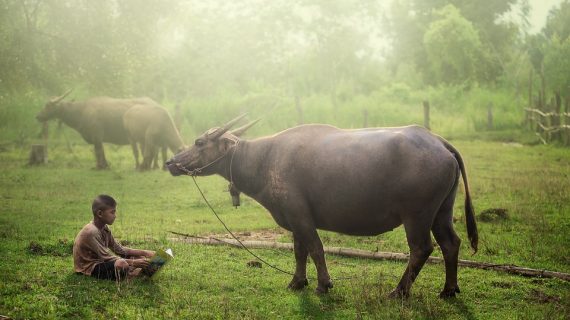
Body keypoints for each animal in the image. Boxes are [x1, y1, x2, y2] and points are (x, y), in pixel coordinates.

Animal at [166, 116, 478, 298]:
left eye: (199, 142)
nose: (171, 162)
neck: (264, 159)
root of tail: (439, 142)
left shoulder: (301, 216)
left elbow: (315, 248)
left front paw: (323, 284)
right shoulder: (293, 219)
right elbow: (299, 250)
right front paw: (297, 282)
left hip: (417, 216)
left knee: (421, 249)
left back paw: (399, 291)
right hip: (442, 211)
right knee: (451, 243)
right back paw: (449, 289)